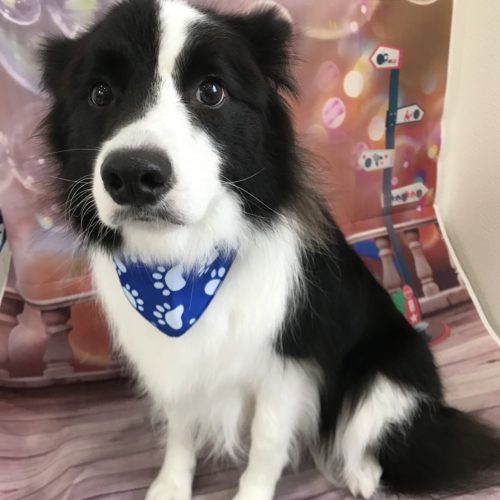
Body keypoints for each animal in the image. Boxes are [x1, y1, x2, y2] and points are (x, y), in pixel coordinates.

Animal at [39, 0, 500, 498]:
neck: (186, 265)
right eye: (99, 93)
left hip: (392, 367)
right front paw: (170, 484)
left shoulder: (288, 368)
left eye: (211, 91)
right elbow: (180, 431)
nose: (131, 175)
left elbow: (266, 443)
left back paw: (363, 474)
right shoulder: (174, 363)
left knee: (368, 430)